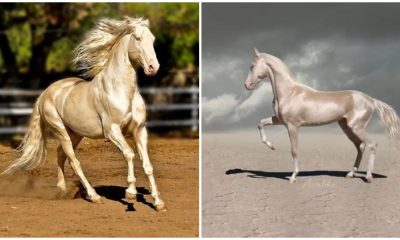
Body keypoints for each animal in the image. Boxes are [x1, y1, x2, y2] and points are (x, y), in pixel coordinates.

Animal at [1, 16, 166, 211]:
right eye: (138, 38)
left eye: (153, 39)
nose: (153, 67)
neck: (122, 91)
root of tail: (45, 93)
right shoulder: (112, 131)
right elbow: (130, 154)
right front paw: (130, 194)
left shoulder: (139, 130)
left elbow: (147, 164)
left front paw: (158, 202)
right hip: (61, 131)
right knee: (74, 161)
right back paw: (94, 196)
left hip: (75, 134)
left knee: (60, 154)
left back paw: (62, 190)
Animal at [244, 48, 400, 184]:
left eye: (252, 66)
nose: (247, 85)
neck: (289, 92)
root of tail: (371, 100)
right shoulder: (279, 120)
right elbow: (260, 123)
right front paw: (272, 146)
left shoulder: (292, 126)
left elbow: (294, 150)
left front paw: (293, 177)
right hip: (347, 128)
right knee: (360, 146)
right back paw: (350, 174)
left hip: (357, 127)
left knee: (372, 144)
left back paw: (368, 177)